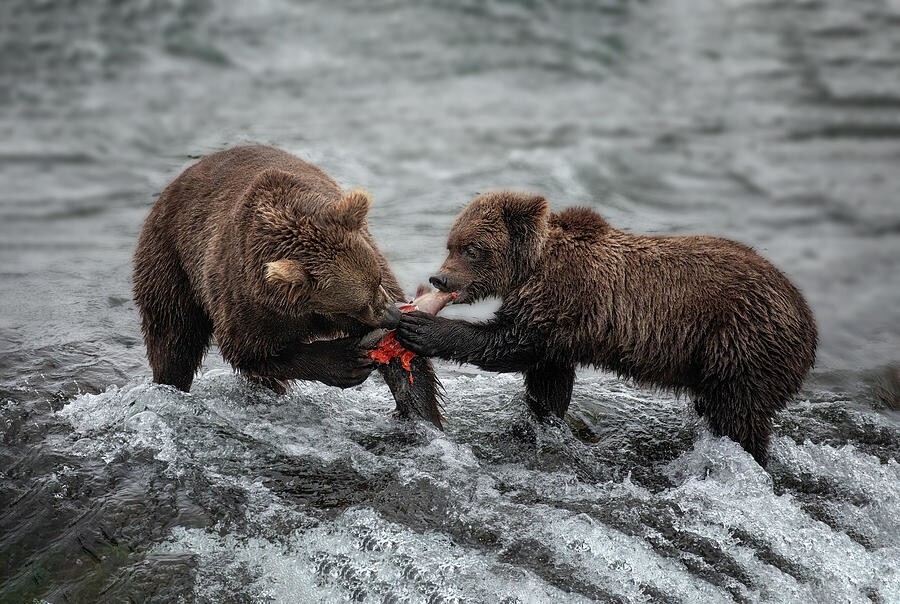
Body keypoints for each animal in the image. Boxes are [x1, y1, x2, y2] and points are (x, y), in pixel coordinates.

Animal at [134, 146, 442, 428]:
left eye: (377, 280)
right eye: (359, 304)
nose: (394, 315)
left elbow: (401, 361)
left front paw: (421, 413)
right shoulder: (249, 301)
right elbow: (251, 351)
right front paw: (346, 360)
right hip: (170, 260)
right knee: (174, 337)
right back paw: (170, 382)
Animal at [398, 191, 820, 464]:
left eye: (472, 248)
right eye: (450, 243)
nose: (439, 278)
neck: (531, 268)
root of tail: (808, 321)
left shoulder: (564, 296)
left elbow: (510, 344)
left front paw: (420, 325)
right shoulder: (559, 327)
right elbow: (548, 380)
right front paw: (539, 421)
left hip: (742, 341)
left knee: (740, 416)